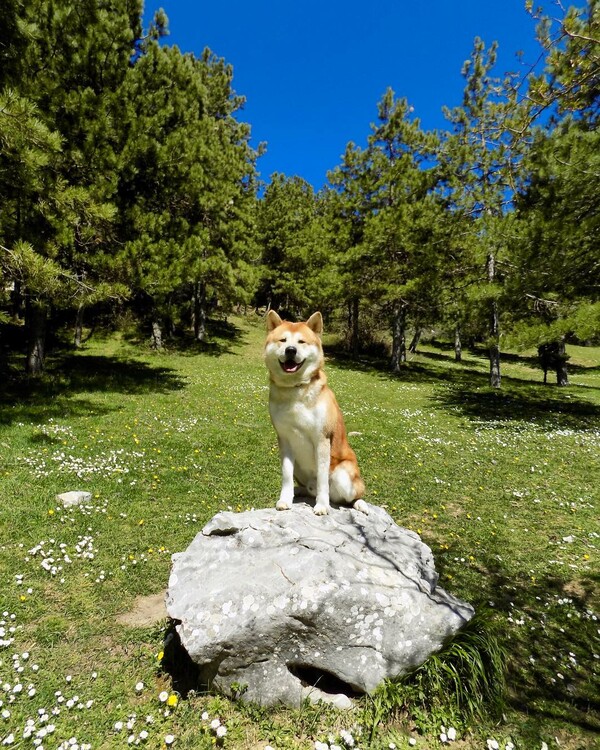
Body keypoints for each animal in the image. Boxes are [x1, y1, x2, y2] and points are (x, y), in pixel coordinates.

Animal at [264, 312, 368, 516]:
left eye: (301, 342)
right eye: (283, 340)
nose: (290, 350)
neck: (295, 390)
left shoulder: (322, 439)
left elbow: (322, 479)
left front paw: (322, 505)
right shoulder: (284, 439)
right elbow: (286, 476)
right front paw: (285, 499)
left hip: (345, 476)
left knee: (351, 497)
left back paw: (359, 504)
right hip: (299, 468)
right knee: (307, 488)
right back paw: (299, 491)